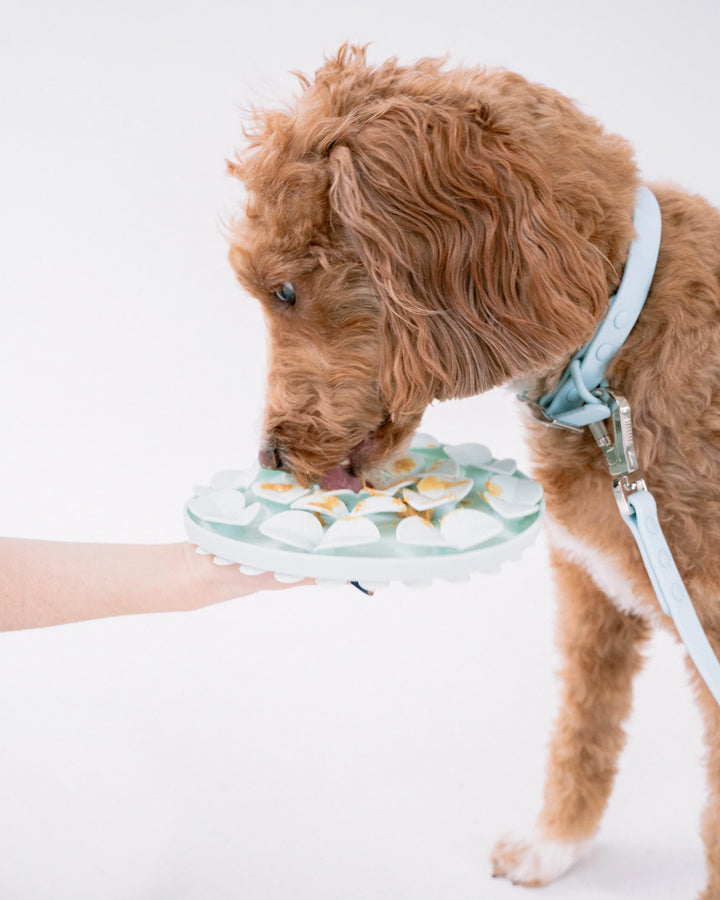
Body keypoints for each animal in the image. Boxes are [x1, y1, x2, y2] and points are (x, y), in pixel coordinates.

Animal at [228, 45, 720, 896]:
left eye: (284, 290)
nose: (270, 455)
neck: (612, 343)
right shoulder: (592, 593)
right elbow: (584, 728)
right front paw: (554, 844)